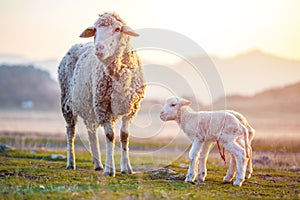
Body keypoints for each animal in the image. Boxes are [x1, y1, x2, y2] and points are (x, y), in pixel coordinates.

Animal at [57, 12, 146, 177]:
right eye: (95, 30)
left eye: (117, 29)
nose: (99, 48)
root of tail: (75, 46)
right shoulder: (104, 107)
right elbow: (110, 136)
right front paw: (110, 170)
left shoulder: (131, 109)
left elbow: (124, 136)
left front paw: (127, 168)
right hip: (67, 102)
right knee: (71, 131)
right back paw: (71, 163)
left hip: (88, 104)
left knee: (90, 131)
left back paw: (98, 163)